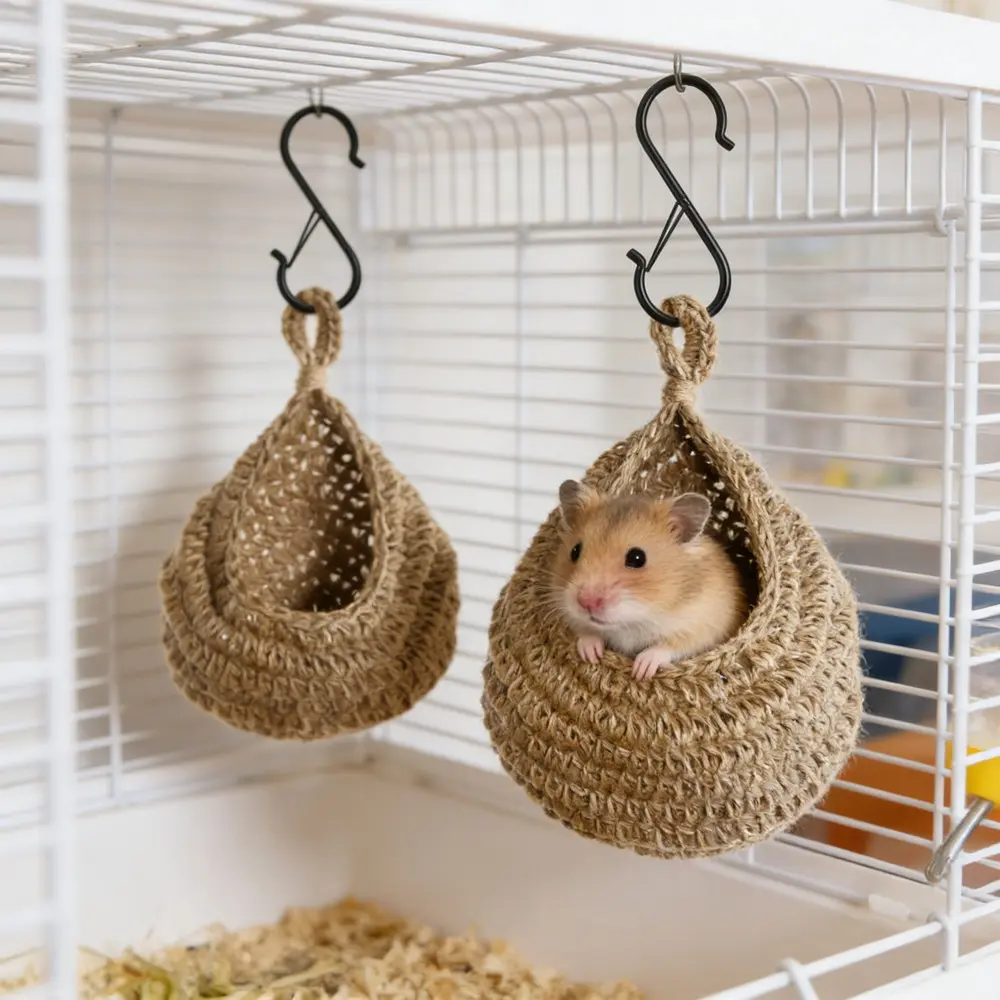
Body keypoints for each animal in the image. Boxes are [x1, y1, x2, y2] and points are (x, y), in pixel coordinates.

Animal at [552, 480, 748, 680]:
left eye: (637, 558)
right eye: (575, 551)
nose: (587, 602)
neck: (637, 619)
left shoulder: (704, 626)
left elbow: (669, 646)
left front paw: (641, 671)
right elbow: (585, 630)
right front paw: (591, 654)